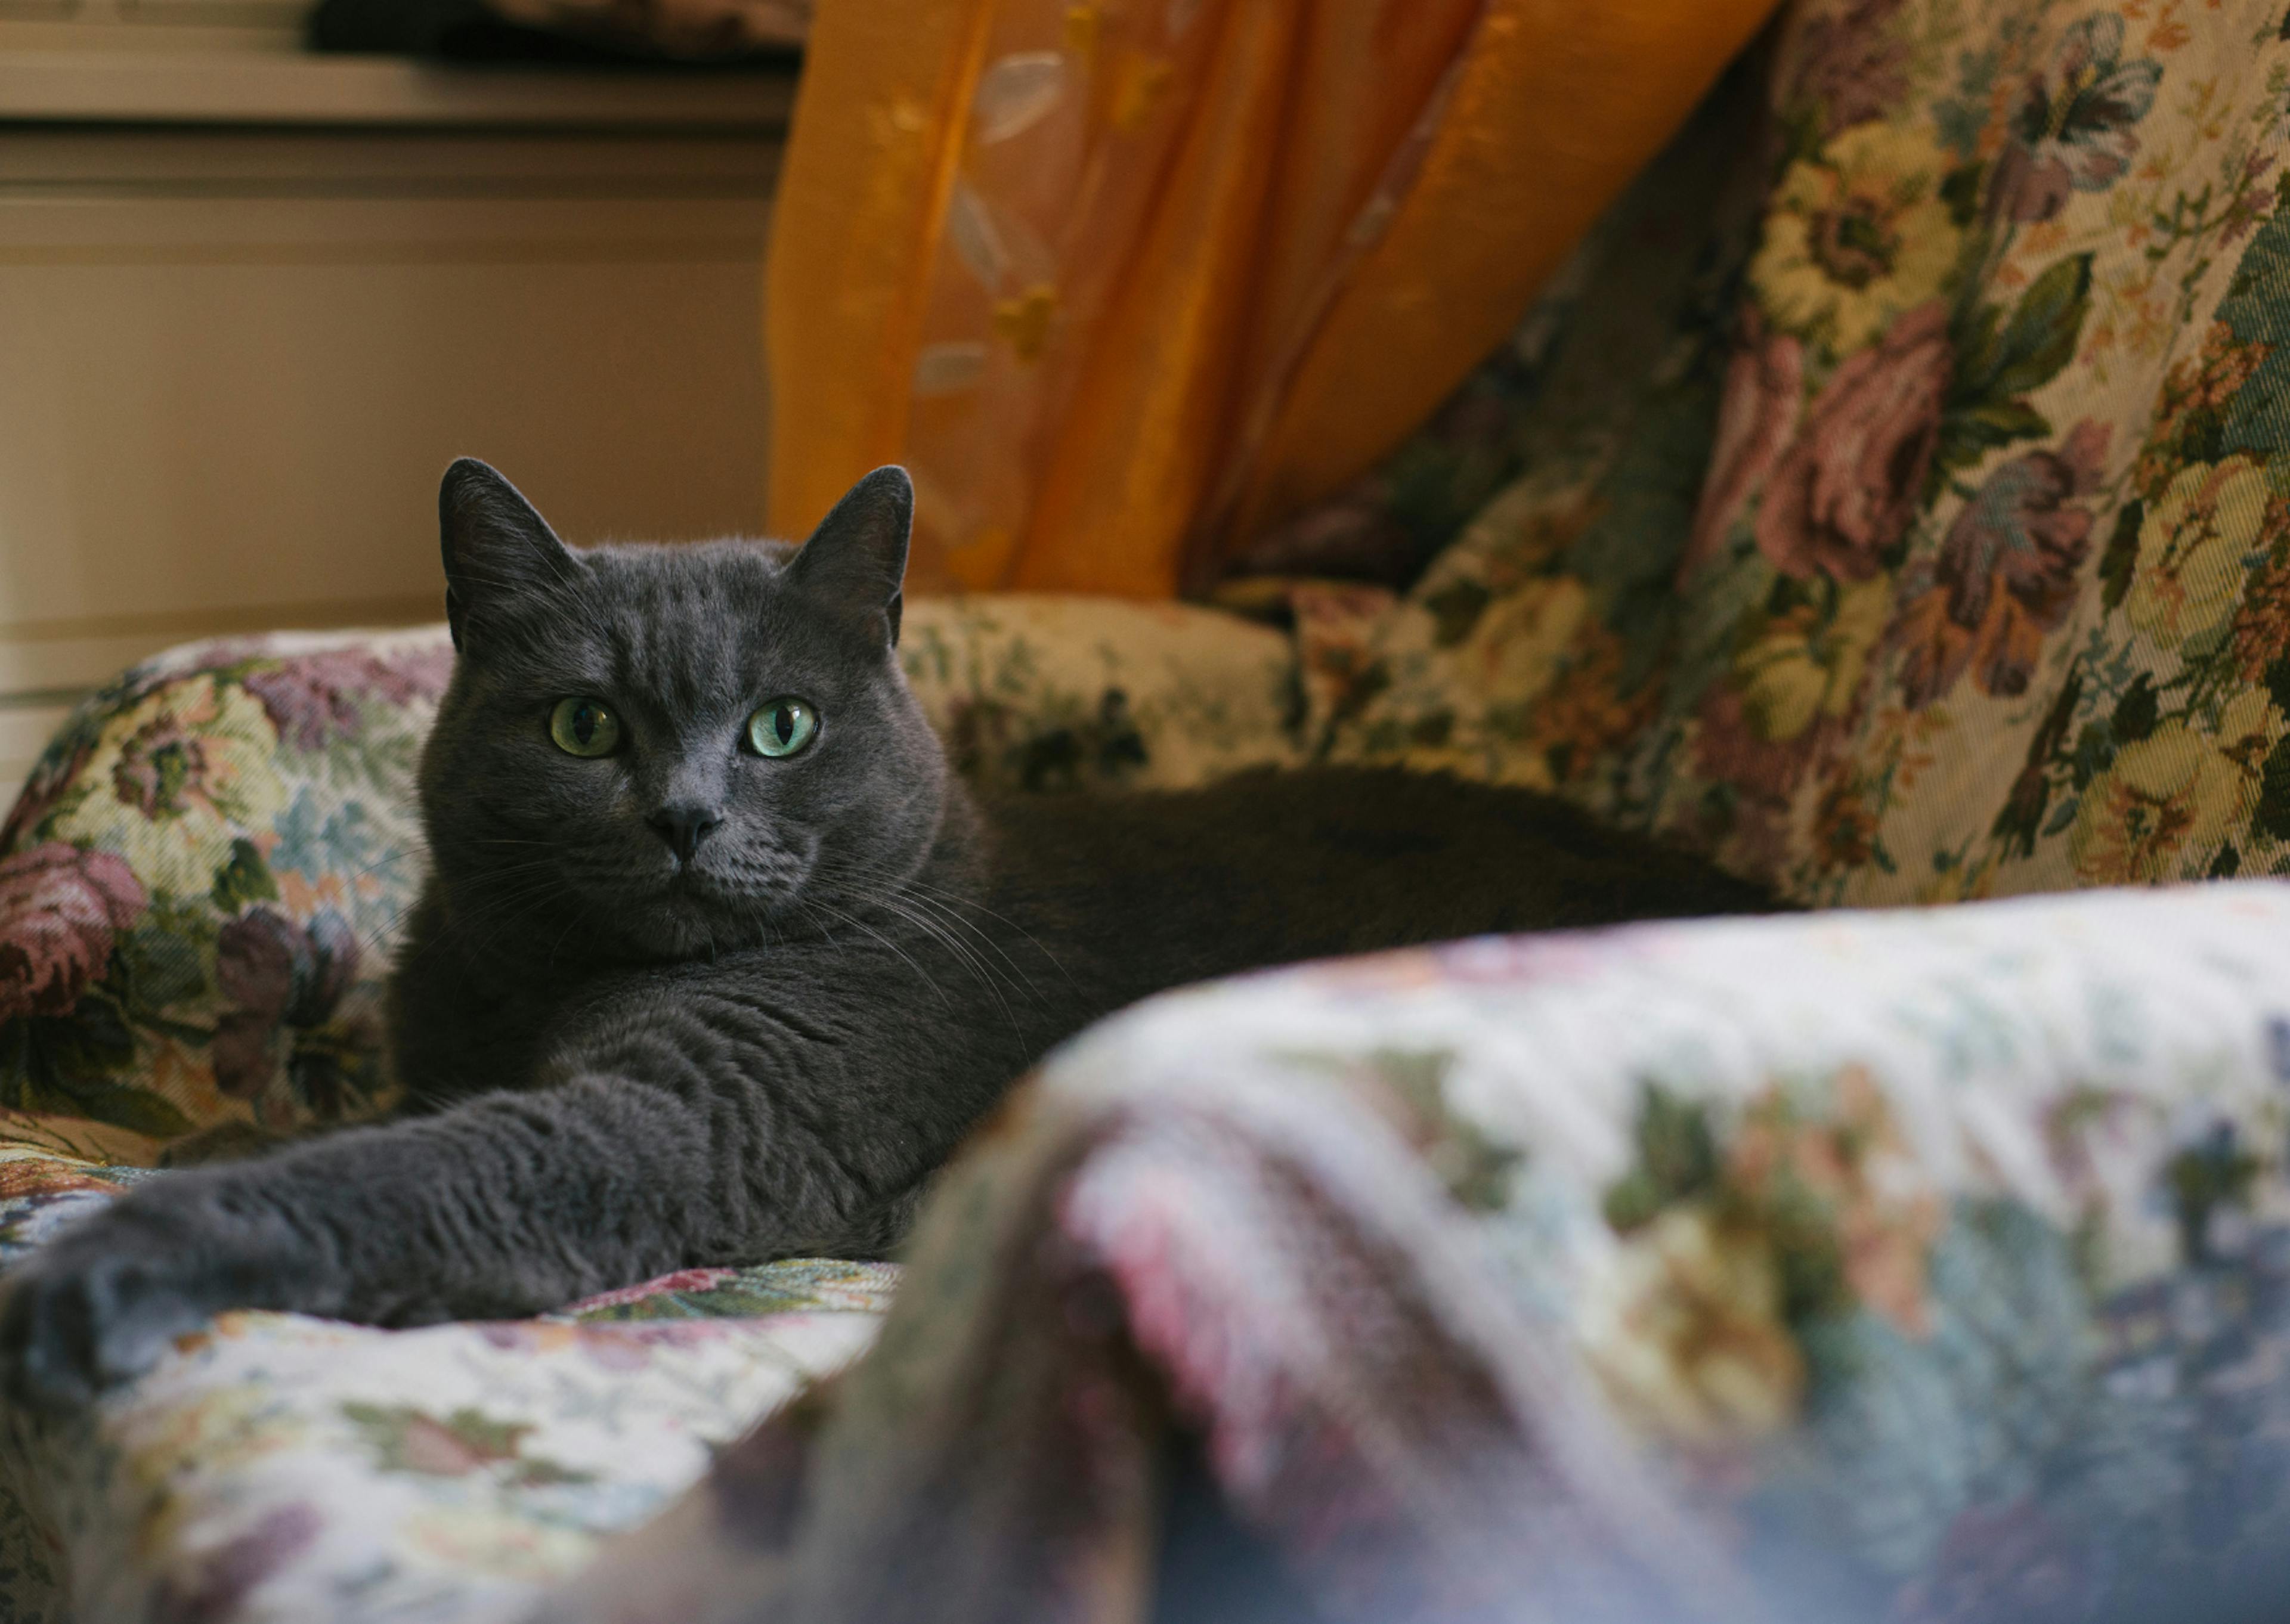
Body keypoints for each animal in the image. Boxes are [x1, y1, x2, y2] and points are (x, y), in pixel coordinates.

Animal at [0, 460, 1768, 1402]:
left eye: (780, 728)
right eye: (582, 725)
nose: (684, 817)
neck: (541, 984)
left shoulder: (703, 1114)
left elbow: (400, 1169)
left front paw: (112, 1259)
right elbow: (363, 1126)